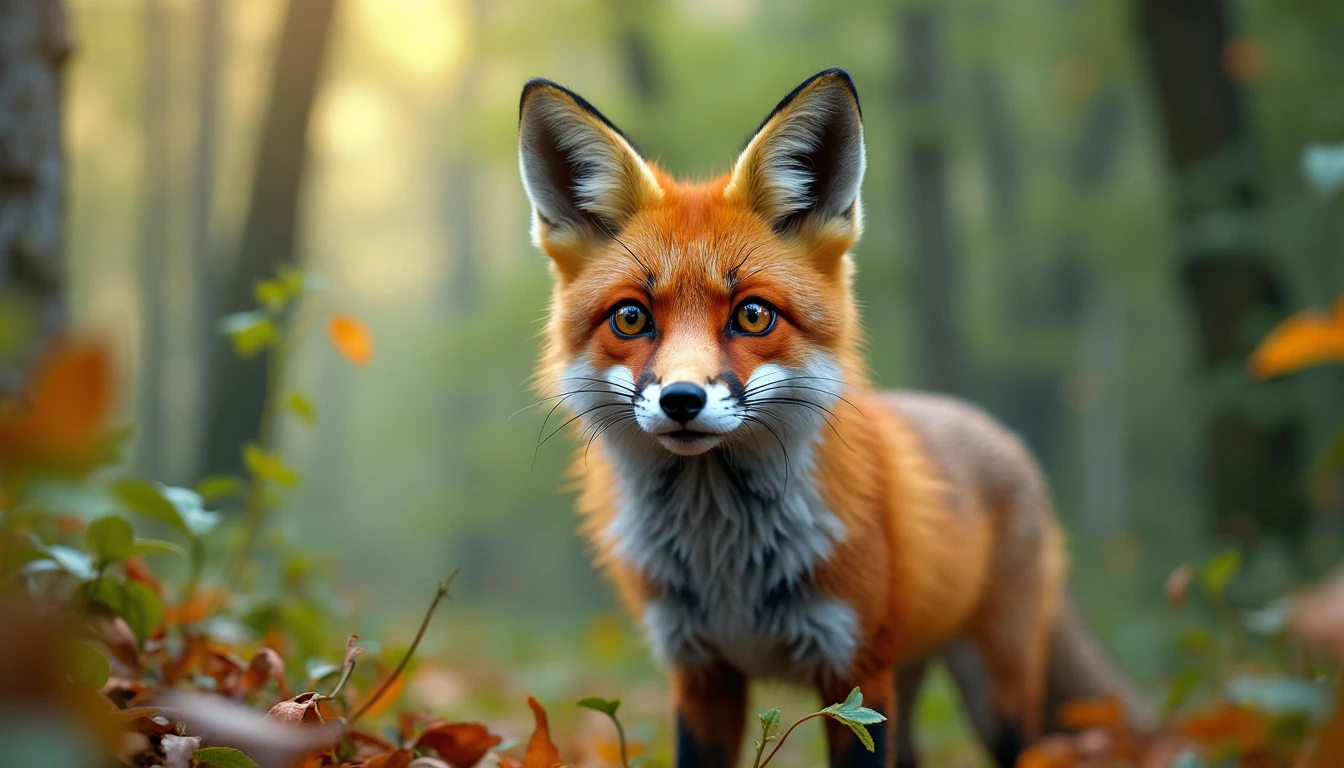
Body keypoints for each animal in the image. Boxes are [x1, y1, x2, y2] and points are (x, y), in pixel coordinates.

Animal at [513, 67, 1145, 768]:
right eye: (630, 317)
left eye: (753, 315)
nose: (681, 400)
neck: (725, 561)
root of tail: (998, 431)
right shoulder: (701, 674)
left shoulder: (852, 671)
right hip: (904, 682)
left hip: (989, 694)